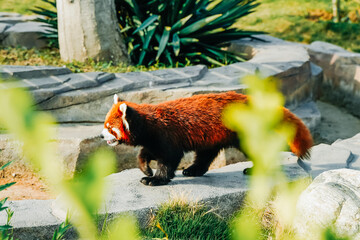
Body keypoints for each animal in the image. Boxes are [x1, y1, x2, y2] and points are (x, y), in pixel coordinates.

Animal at [100, 91, 312, 187]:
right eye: (104, 125)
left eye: (110, 128)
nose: (101, 135)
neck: (149, 124)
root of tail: (248, 100)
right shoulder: (153, 140)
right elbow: (145, 154)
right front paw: (146, 169)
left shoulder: (166, 136)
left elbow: (168, 160)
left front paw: (156, 179)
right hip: (213, 135)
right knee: (205, 154)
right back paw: (193, 170)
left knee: (257, 149)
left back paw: (256, 169)